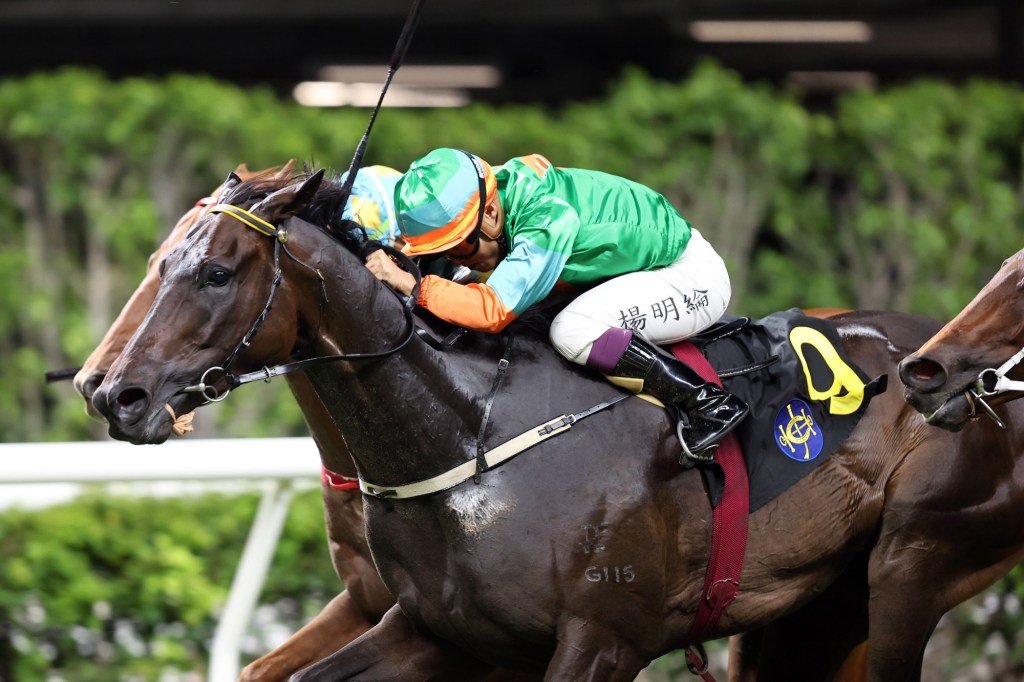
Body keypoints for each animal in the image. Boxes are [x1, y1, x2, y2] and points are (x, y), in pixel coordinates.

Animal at [89, 166, 998, 681]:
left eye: (213, 272)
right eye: (157, 262)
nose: (111, 393)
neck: (474, 437)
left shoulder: (603, 639)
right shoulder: (439, 630)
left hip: (911, 565)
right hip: (814, 607)